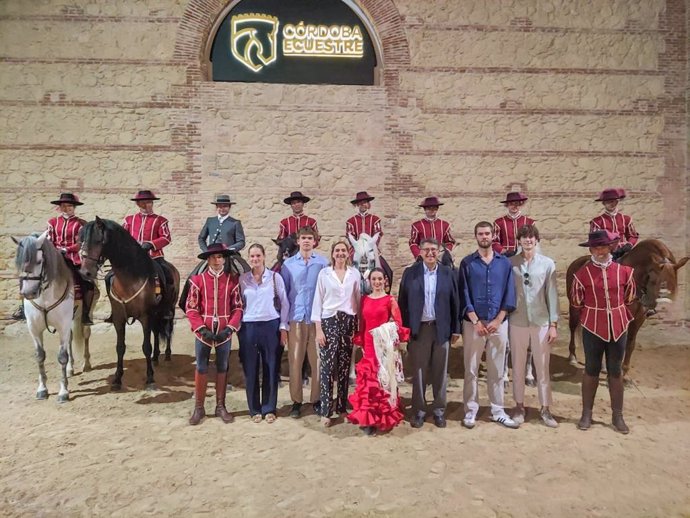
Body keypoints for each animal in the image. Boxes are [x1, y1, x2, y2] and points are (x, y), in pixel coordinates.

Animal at [13, 234, 93, 404]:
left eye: (39, 261)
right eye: (19, 261)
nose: (29, 293)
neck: (45, 296)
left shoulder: (62, 326)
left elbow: (62, 357)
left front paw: (63, 392)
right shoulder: (34, 328)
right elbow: (40, 356)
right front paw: (42, 389)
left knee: (85, 335)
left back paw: (87, 363)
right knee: (70, 340)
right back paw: (70, 369)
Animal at [79, 215, 180, 390]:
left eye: (99, 241)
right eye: (83, 240)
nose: (85, 272)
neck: (131, 279)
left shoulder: (145, 317)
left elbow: (146, 347)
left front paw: (150, 378)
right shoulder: (119, 319)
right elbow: (120, 347)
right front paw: (117, 379)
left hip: (169, 310)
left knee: (167, 329)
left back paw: (166, 355)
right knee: (156, 332)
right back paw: (155, 357)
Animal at [564, 242, 688, 380]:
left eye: (673, 283)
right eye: (654, 280)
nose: (650, 303)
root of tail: (576, 262)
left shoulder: (638, 319)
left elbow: (630, 344)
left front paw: (625, 375)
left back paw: (602, 366)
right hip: (574, 308)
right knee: (573, 328)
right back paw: (572, 357)